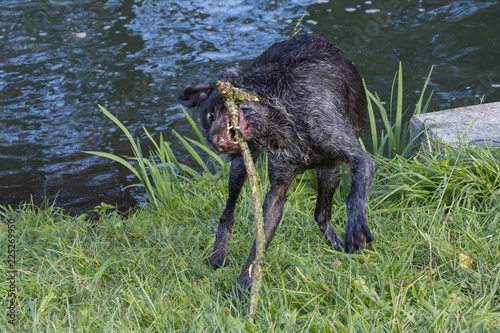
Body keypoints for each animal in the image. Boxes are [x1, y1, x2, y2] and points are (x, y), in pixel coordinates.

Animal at [178, 32, 376, 294]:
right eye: (206, 128)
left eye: (211, 115)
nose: (215, 144)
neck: (280, 114)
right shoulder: (276, 193)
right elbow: (257, 251)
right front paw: (241, 290)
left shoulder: (357, 157)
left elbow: (355, 196)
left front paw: (356, 227)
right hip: (242, 166)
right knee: (227, 213)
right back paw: (218, 255)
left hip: (329, 171)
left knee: (321, 215)